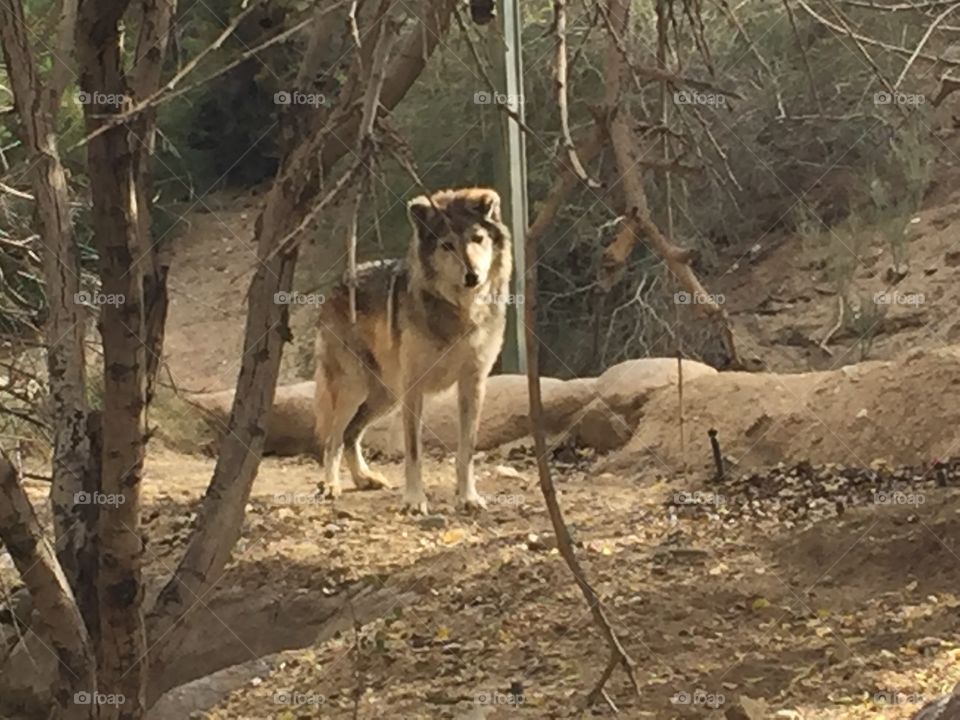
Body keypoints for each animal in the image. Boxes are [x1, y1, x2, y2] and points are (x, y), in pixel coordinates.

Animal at [313, 187, 512, 514]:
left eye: (477, 239)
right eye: (447, 245)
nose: (472, 276)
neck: (461, 312)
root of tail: (339, 282)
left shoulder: (473, 384)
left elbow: (466, 451)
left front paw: (468, 498)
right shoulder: (414, 389)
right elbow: (414, 452)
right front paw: (415, 501)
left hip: (386, 396)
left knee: (351, 433)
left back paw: (364, 479)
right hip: (355, 388)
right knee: (333, 438)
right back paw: (331, 485)